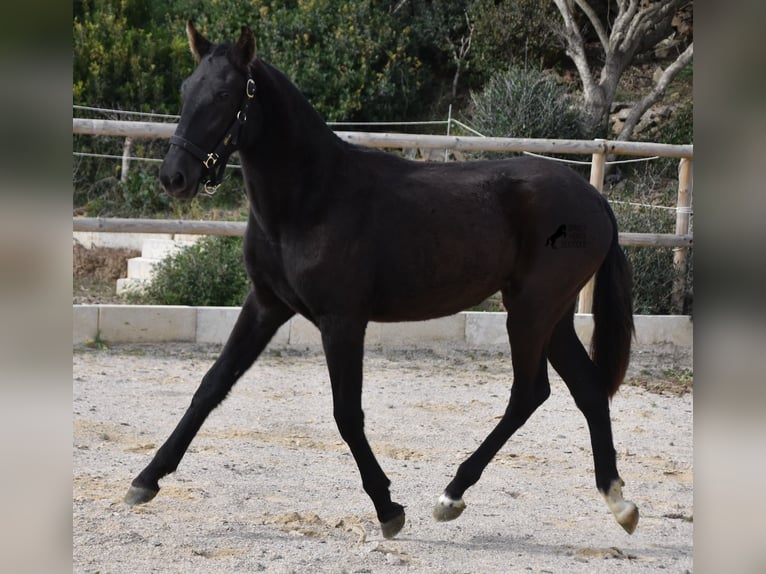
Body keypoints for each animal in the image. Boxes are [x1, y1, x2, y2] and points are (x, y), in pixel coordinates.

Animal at [124, 21, 640, 540]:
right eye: (186, 89)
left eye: (225, 93)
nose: (174, 177)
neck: (312, 199)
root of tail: (595, 200)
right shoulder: (266, 305)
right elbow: (211, 386)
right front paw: (145, 480)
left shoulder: (342, 321)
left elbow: (347, 413)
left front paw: (387, 508)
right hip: (550, 316)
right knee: (587, 389)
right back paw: (618, 501)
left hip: (531, 311)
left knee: (529, 394)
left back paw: (451, 495)